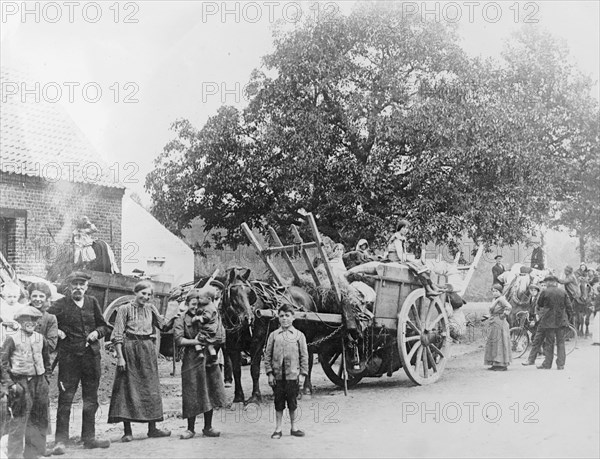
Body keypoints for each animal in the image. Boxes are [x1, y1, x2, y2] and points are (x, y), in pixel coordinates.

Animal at [221, 268, 318, 404]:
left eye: (249, 292)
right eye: (234, 292)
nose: (248, 318)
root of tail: (308, 295)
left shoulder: (257, 343)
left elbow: (255, 370)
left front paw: (255, 396)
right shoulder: (232, 346)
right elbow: (237, 371)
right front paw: (238, 398)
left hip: (307, 339)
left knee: (308, 360)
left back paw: (306, 390)